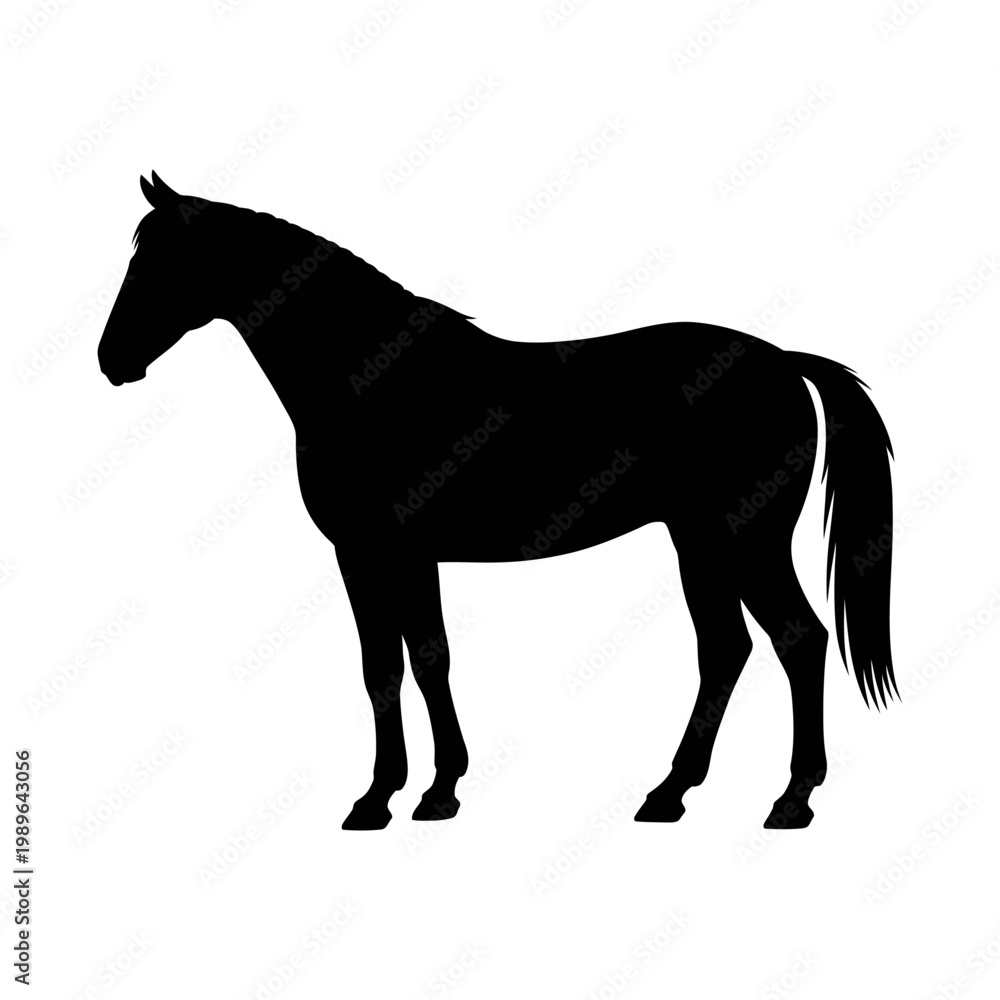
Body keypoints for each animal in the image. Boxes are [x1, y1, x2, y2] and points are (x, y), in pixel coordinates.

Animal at [97, 172, 897, 831]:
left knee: (798, 640)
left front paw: (388, 797)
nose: (111, 360)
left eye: (159, 261)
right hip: (698, 538)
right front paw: (425, 790)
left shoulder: (376, 551)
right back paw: (669, 794)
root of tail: (784, 363)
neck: (371, 380)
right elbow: (413, 662)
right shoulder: (394, 557)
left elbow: (396, 665)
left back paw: (791, 800)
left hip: (745, 537)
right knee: (726, 649)